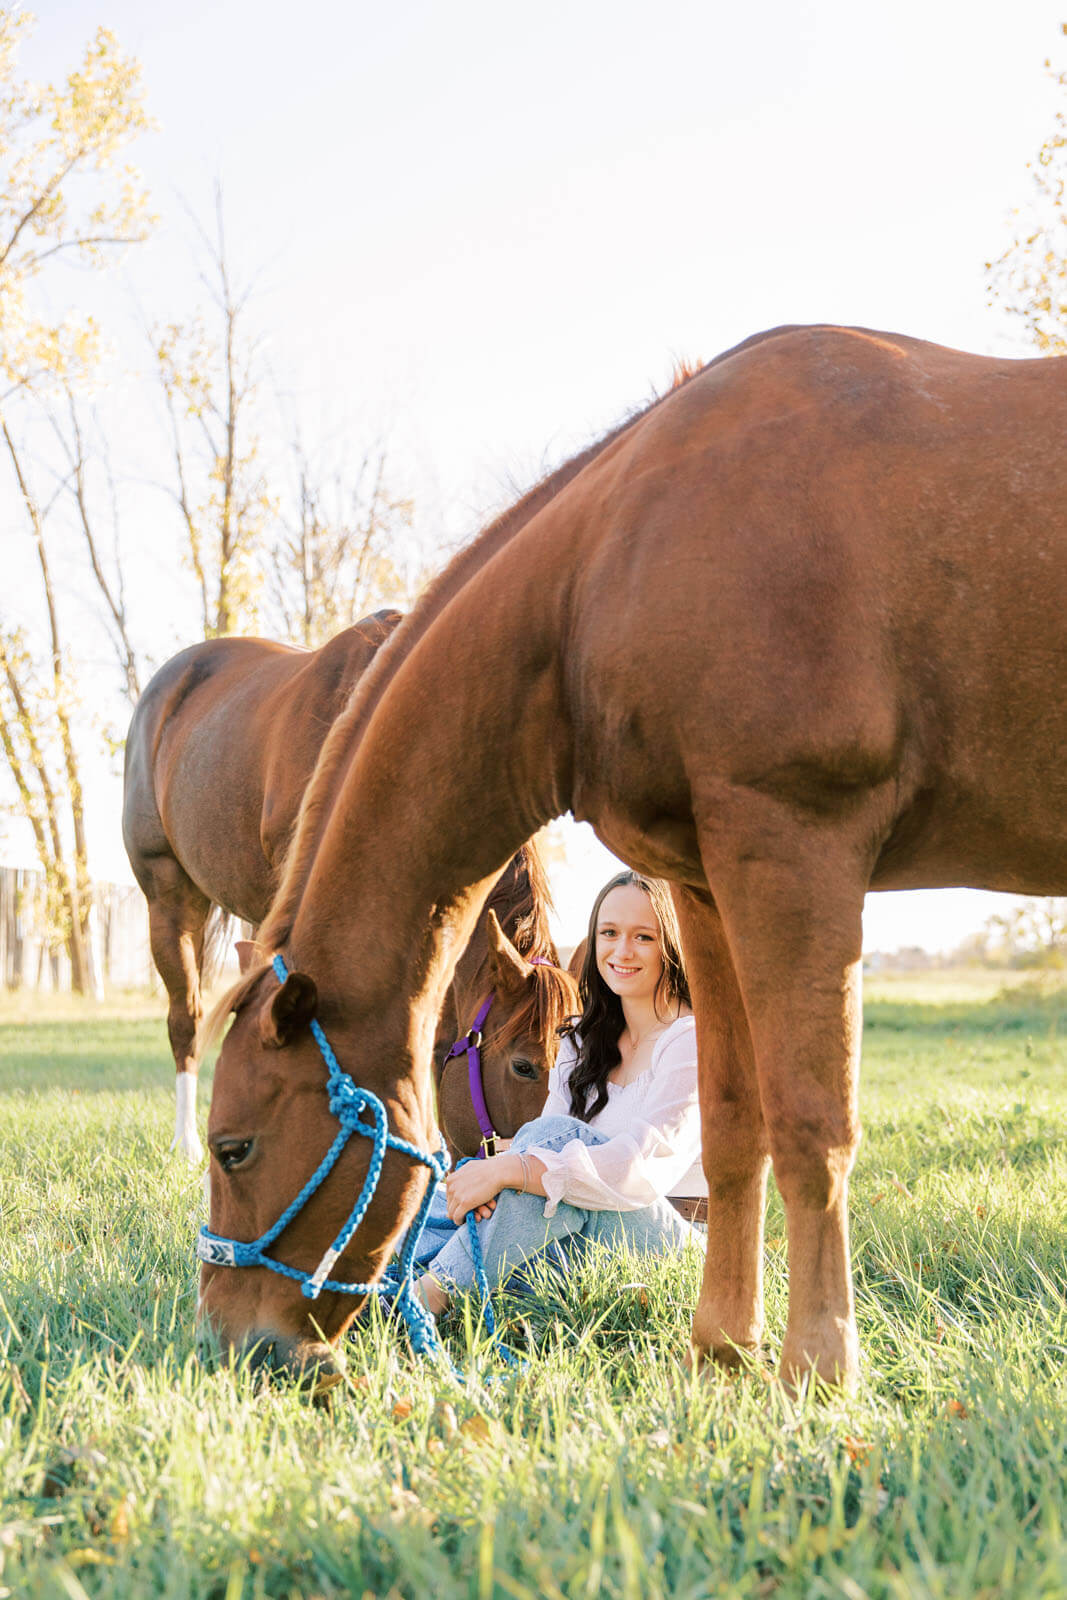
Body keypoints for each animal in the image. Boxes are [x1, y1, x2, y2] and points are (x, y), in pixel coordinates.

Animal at [201, 322, 1067, 1392]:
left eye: (233, 1148)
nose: (235, 1344)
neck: (611, 571)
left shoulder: (795, 852)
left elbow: (813, 1122)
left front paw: (818, 1368)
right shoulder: (705, 882)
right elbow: (733, 1124)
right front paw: (724, 1349)